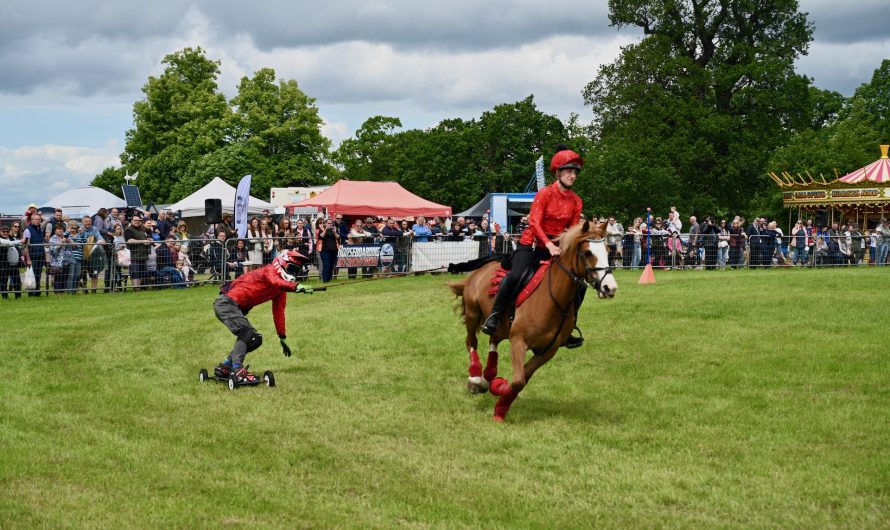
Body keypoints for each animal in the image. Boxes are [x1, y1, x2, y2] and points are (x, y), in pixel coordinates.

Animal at [444, 219, 616, 420]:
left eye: (607, 250)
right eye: (588, 253)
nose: (610, 287)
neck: (551, 298)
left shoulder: (547, 351)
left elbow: (522, 380)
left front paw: (500, 404)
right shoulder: (518, 341)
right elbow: (518, 381)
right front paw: (499, 395)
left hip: (502, 327)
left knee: (493, 340)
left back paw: (488, 376)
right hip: (473, 314)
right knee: (471, 341)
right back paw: (476, 378)